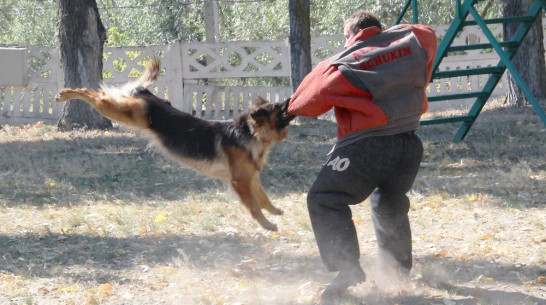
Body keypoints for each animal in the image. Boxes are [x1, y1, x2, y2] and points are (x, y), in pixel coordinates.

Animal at [54, 57, 294, 230]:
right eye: (278, 107)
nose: (291, 99)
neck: (250, 133)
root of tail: (147, 93)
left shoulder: (250, 177)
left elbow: (263, 198)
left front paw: (275, 211)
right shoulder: (240, 181)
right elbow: (254, 206)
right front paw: (267, 224)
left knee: (98, 94)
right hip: (124, 112)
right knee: (93, 95)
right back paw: (66, 94)